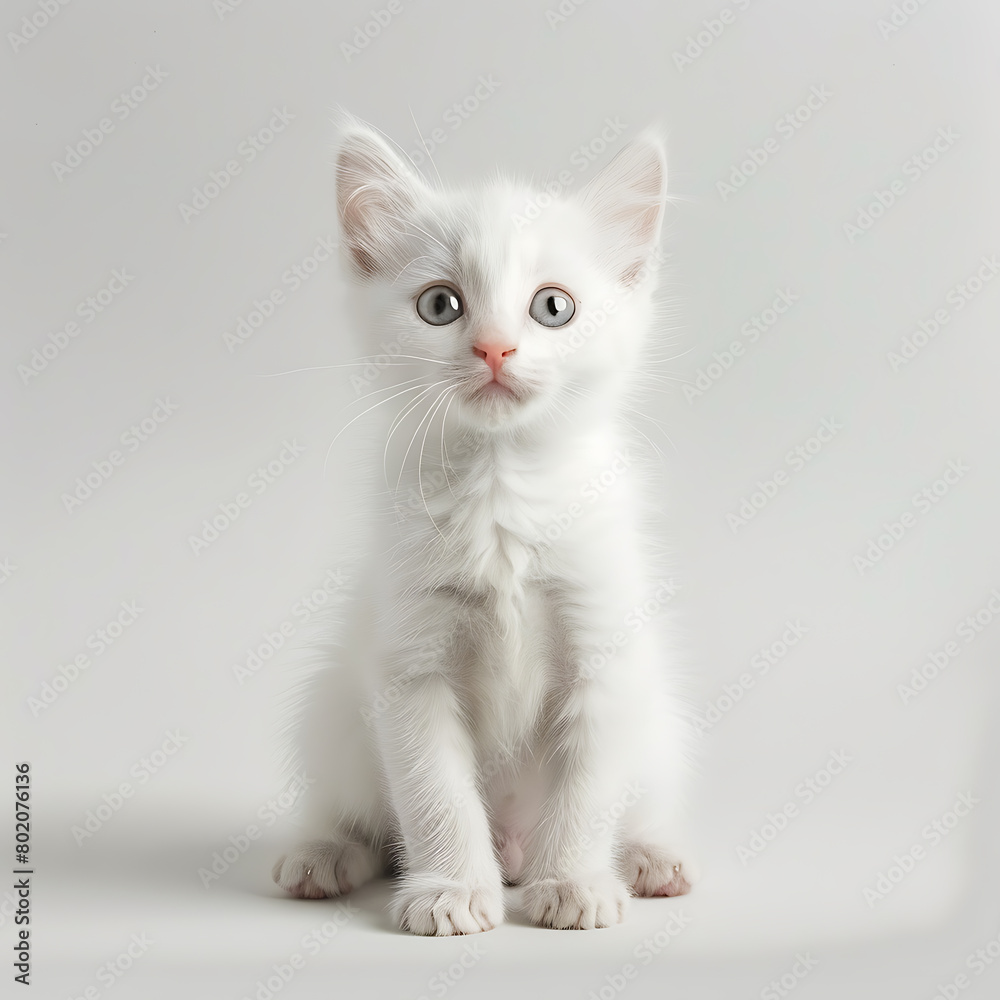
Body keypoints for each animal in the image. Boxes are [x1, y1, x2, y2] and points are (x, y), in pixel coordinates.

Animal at [270, 113, 700, 932]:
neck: (501, 491)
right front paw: (448, 890)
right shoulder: (408, 664)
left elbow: (589, 788)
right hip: (333, 707)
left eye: (553, 306)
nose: (494, 348)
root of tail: (514, 850)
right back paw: (324, 853)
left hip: (661, 724)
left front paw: (574, 882)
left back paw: (646, 857)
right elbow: (432, 790)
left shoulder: (603, 647)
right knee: (359, 813)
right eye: (440, 305)